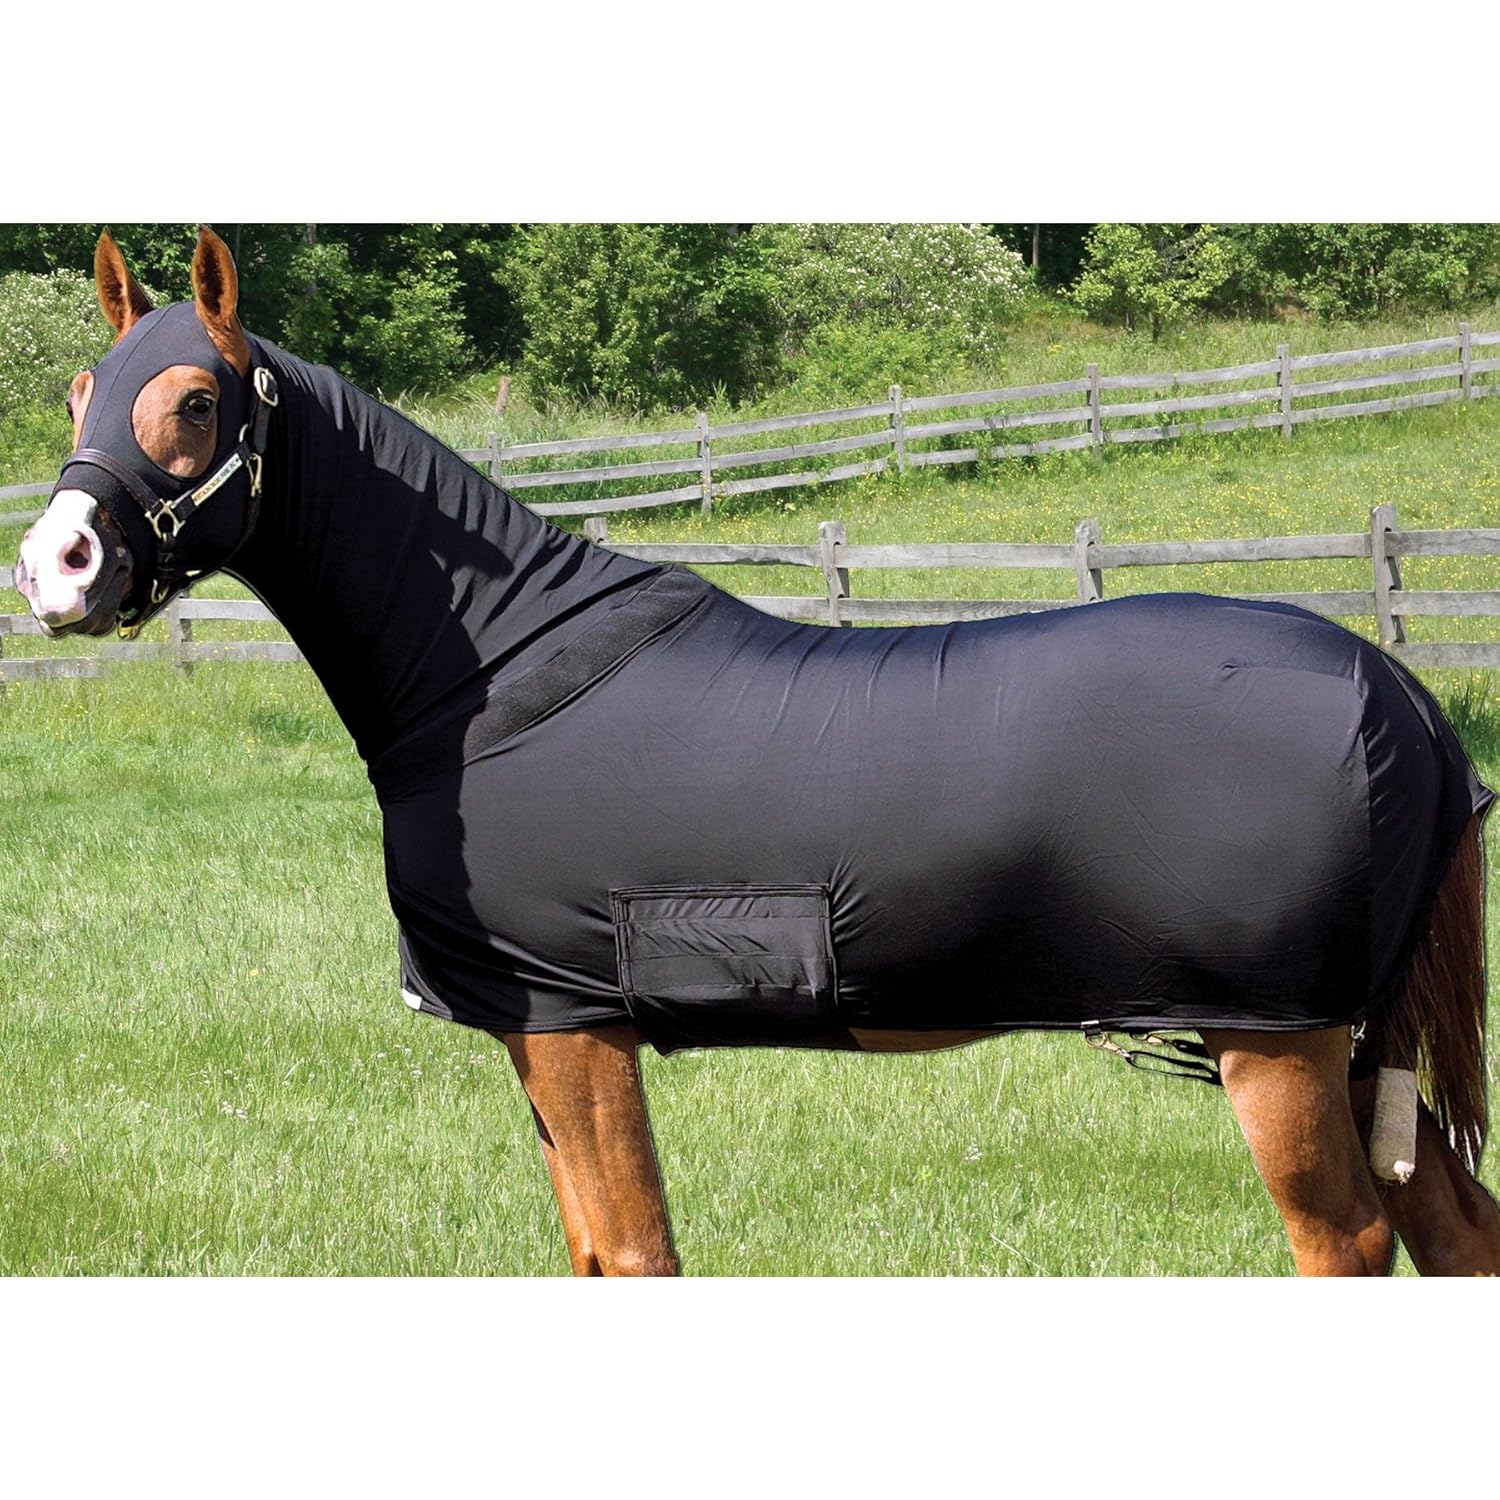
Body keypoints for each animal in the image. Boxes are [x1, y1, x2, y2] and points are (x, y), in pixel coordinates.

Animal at [15, 228, 1500, 1275]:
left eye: (193, 402)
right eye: (87, 389)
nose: (54, 567)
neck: (494, 668)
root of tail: (1404, 695)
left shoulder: (570, 1025)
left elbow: (631, 1255)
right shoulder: (548, 1031)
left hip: (1278, 1046)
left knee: (1350, 1245)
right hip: (1348, 1042)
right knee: (1457, 1232)